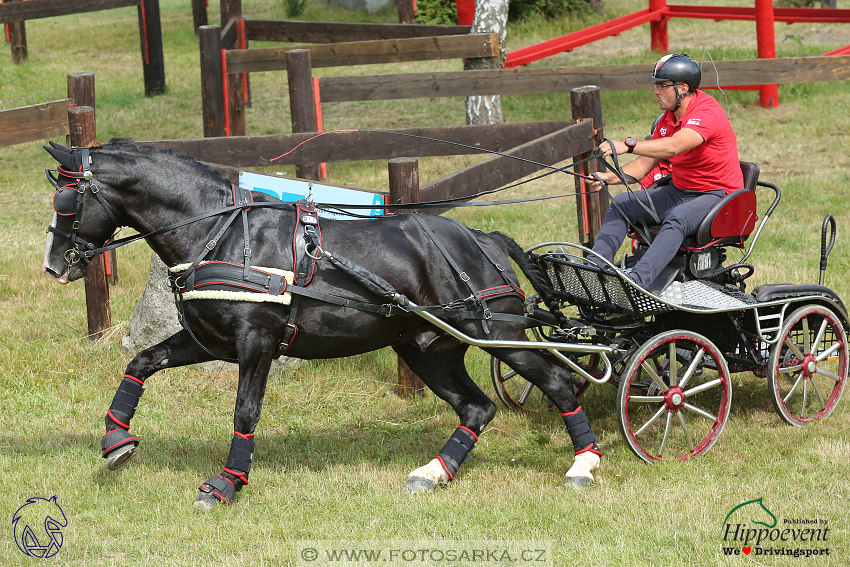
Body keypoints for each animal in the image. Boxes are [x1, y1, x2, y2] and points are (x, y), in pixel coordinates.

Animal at [43, 139, 600, 510]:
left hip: (497, 333)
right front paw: (116, 441)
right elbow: (143, 360)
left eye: (67, 201)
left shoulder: (257, 341)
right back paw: (432, 473)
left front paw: (225, 484)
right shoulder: (212, 340)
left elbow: (245, 411)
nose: (52, 265)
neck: (221, 231)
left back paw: (584, 463)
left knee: (556, 381)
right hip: (427, 349)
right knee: (477, 407)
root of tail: (482, 237)